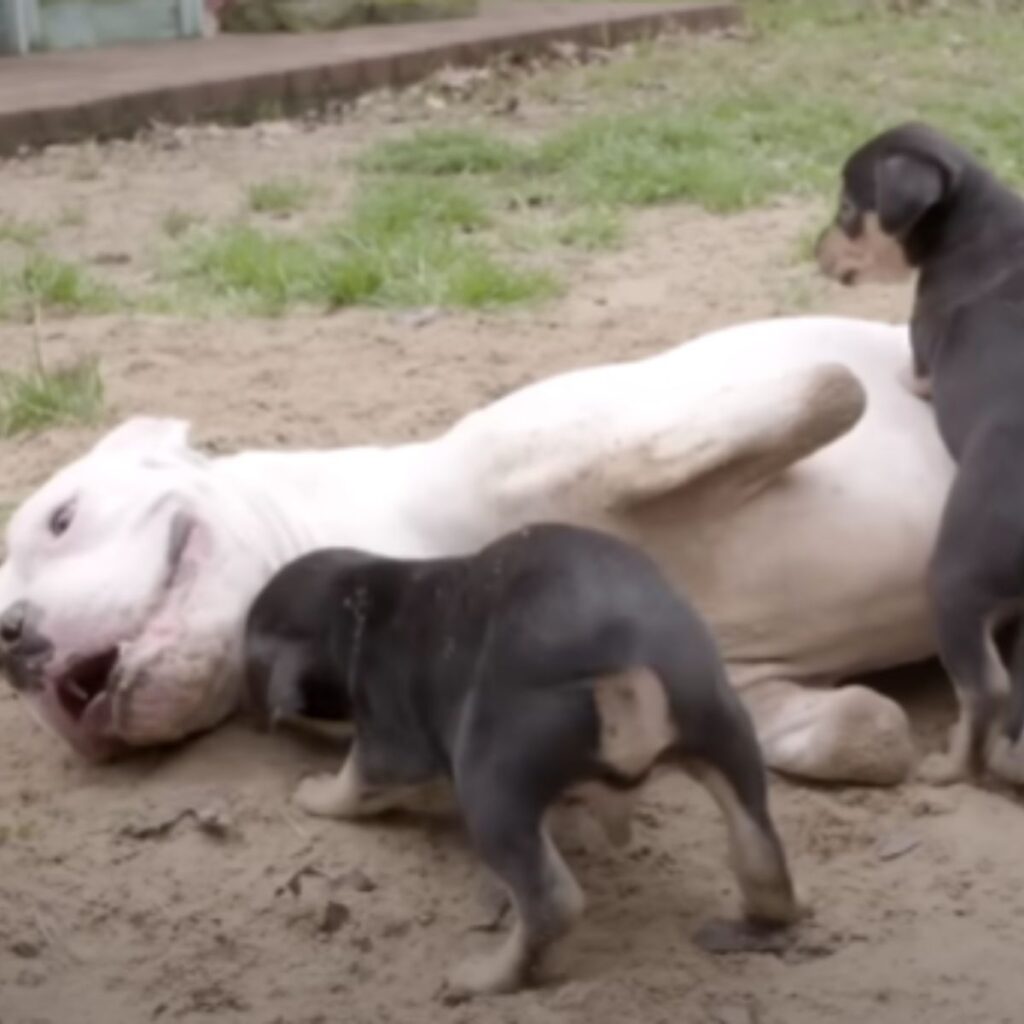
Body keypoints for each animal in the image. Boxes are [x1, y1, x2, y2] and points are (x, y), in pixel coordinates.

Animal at [241, 524, 798, 995]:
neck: (356, 606)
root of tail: (629, 673)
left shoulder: (390, 740)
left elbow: (352, 782)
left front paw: (310, 791)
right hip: (726, 726)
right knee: (759, 847)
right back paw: (763, 917)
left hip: (491, 781)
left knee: (550, 905)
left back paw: (478, 978)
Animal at [815, 123, 1024, 786]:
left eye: (848, 209)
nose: (815, 250)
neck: (977, 220)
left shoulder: (922, 364)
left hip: (953, 581)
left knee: (985, 688)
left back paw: (948, 769)